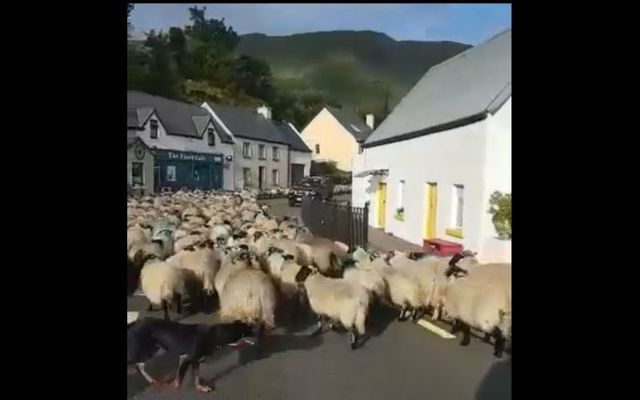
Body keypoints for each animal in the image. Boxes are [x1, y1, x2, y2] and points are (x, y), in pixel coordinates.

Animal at [127, 318, 255, 392]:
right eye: (247, 333)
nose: (256, 336)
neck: (214, 335)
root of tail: (133, 323)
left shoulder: (194, 361)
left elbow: (196, 377)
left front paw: (200, 387)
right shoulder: (187, 359)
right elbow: (179, 380)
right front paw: (174, 386)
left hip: (154, 350)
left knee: (139, 366)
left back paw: (152, 380)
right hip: (142, 350)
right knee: (136, 364)